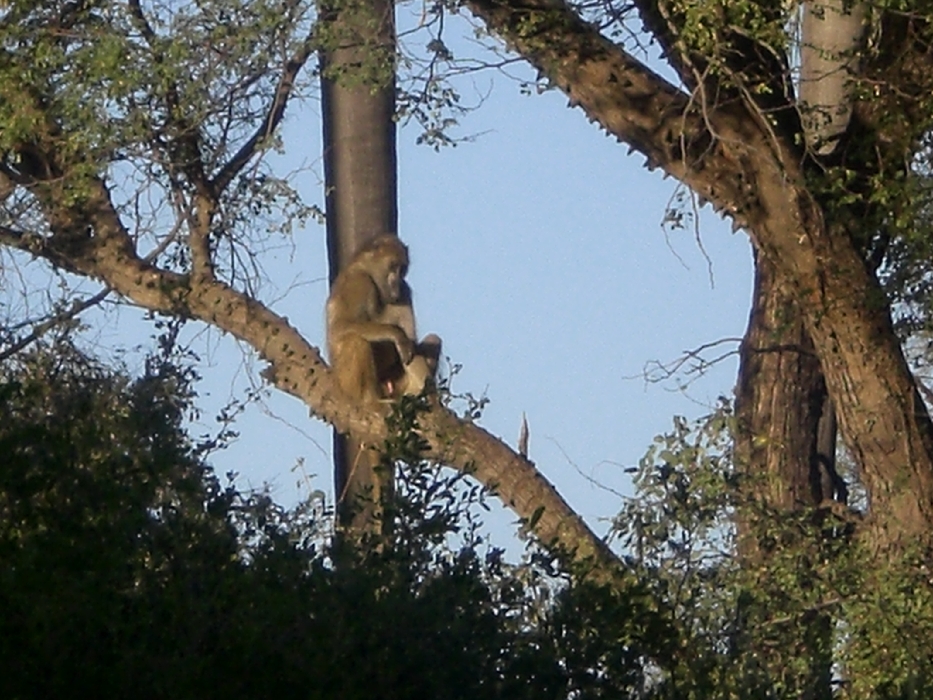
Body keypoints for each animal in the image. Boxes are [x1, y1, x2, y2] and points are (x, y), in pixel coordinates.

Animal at [326, 234, 442, 404]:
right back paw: (370, 400)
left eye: (402, 269)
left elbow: (412, 343)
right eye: (393, 266)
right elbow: (339, 326)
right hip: (346, 382)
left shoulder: (404, 291)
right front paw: (396, 333)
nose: (396, 282)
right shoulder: (359, 282)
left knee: (434, 339)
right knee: (356, 340)